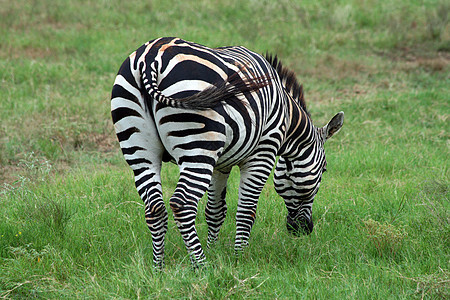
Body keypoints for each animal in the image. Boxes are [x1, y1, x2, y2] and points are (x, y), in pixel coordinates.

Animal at [110, 36, 342, 268]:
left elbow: (215, 210)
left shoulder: (220, 164)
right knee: (182, 204)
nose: (303, 230)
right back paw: (202, 267)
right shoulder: (263, 152)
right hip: (198, 147)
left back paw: (159, 267)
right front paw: (240, 258)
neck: (286, 117)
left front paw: (215, 251)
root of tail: (151, 58)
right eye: (324, 170)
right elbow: (246, 210)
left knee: (155, 208)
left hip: (140, 149)